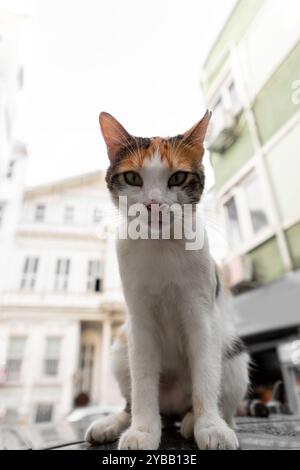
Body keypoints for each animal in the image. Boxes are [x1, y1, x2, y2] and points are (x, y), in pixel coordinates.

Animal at [85, 111, 250, 452]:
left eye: (177, 178)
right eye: (133, 178)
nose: (154, 204)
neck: (160, 244)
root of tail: (172, 406)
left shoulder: (202, 316)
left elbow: (205, 377)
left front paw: (210, 426)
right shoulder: (139, 321)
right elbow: (143, 383)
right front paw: (143, 430)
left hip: (234, 352)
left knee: (224, 402)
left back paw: (194, 421)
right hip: (121, 343)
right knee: (130, 400)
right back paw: (114, 423)